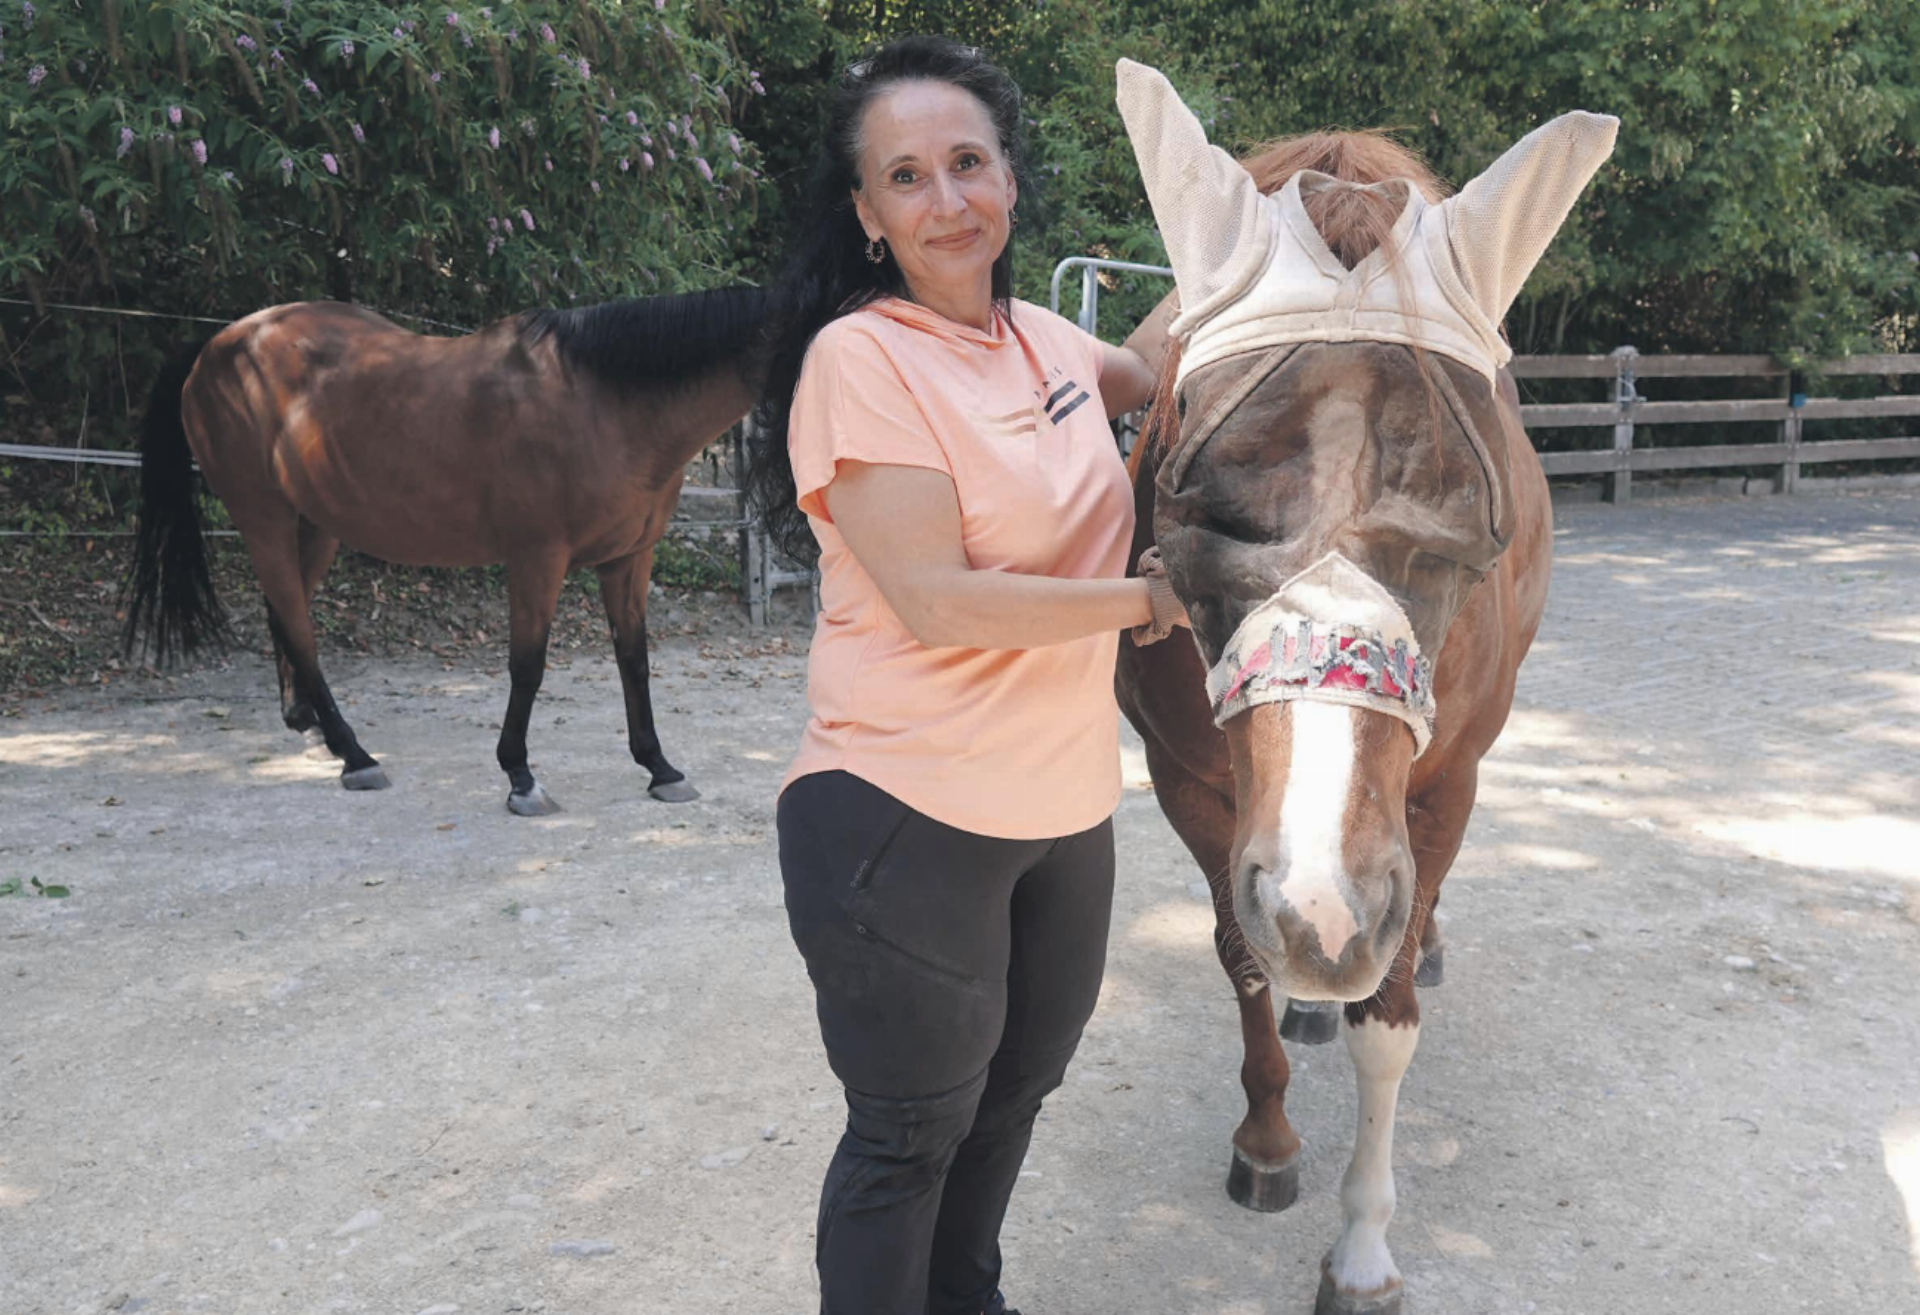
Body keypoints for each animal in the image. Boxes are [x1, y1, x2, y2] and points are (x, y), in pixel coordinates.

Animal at [121, 286, 765, 813]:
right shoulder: (537, 559)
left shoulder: (629, 559)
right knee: (300, 628)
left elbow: (634, 660)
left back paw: (308, 723)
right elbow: (528, 665)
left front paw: (660, 768)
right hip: (264, 520)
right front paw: (520, 777)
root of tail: (218, 345)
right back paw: (355, 756)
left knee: (283, 611)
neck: (604, 401)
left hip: (316, 524)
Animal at [1112, 61, 1614, 1313]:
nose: (1324, 911)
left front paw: (1365, 1246)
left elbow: (1390, 1021)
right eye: (1192, 506)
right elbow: (1241, 958)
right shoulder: (1194, 788)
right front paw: (1267, 1141)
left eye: (1466, 531)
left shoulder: (1443, 791)